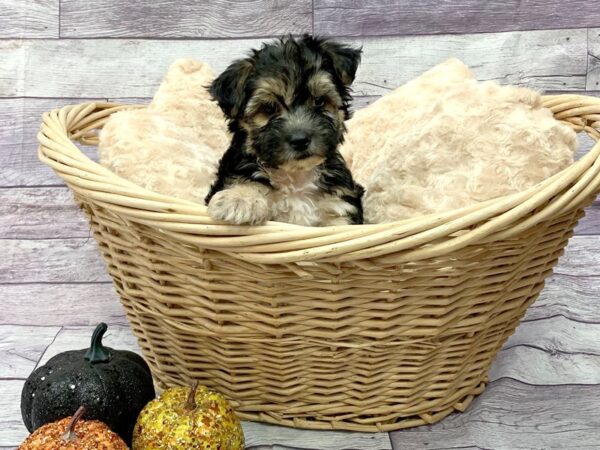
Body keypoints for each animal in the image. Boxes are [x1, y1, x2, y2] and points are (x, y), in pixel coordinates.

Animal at [206, 34, 366, 229]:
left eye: (319, 101)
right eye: (269, 108)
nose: (300, 140)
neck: (295, 175)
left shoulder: (340, 204)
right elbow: (246, 180)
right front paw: (239, 199)